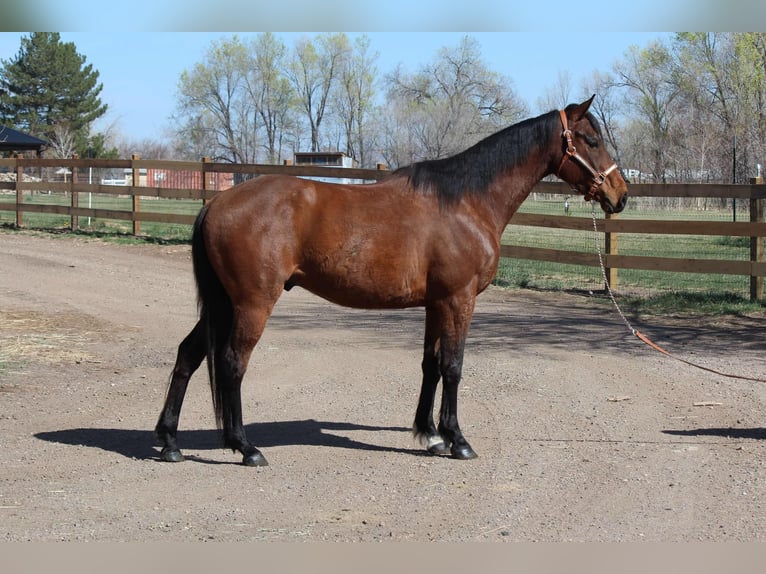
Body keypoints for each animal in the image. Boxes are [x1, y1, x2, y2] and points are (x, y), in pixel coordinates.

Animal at [155, 96, 628, 467]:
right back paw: (245, 447)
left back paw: (169, 441)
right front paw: (458, 440)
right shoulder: (459, 300)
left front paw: (430, 435)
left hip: (223, 304)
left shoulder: (436, 303)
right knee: (232, 363)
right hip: (252, 303)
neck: (466, 203)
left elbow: (431, 365)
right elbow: (454, 367)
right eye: (590, 140)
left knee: (188, 356)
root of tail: (215, 203)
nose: (620, 196)